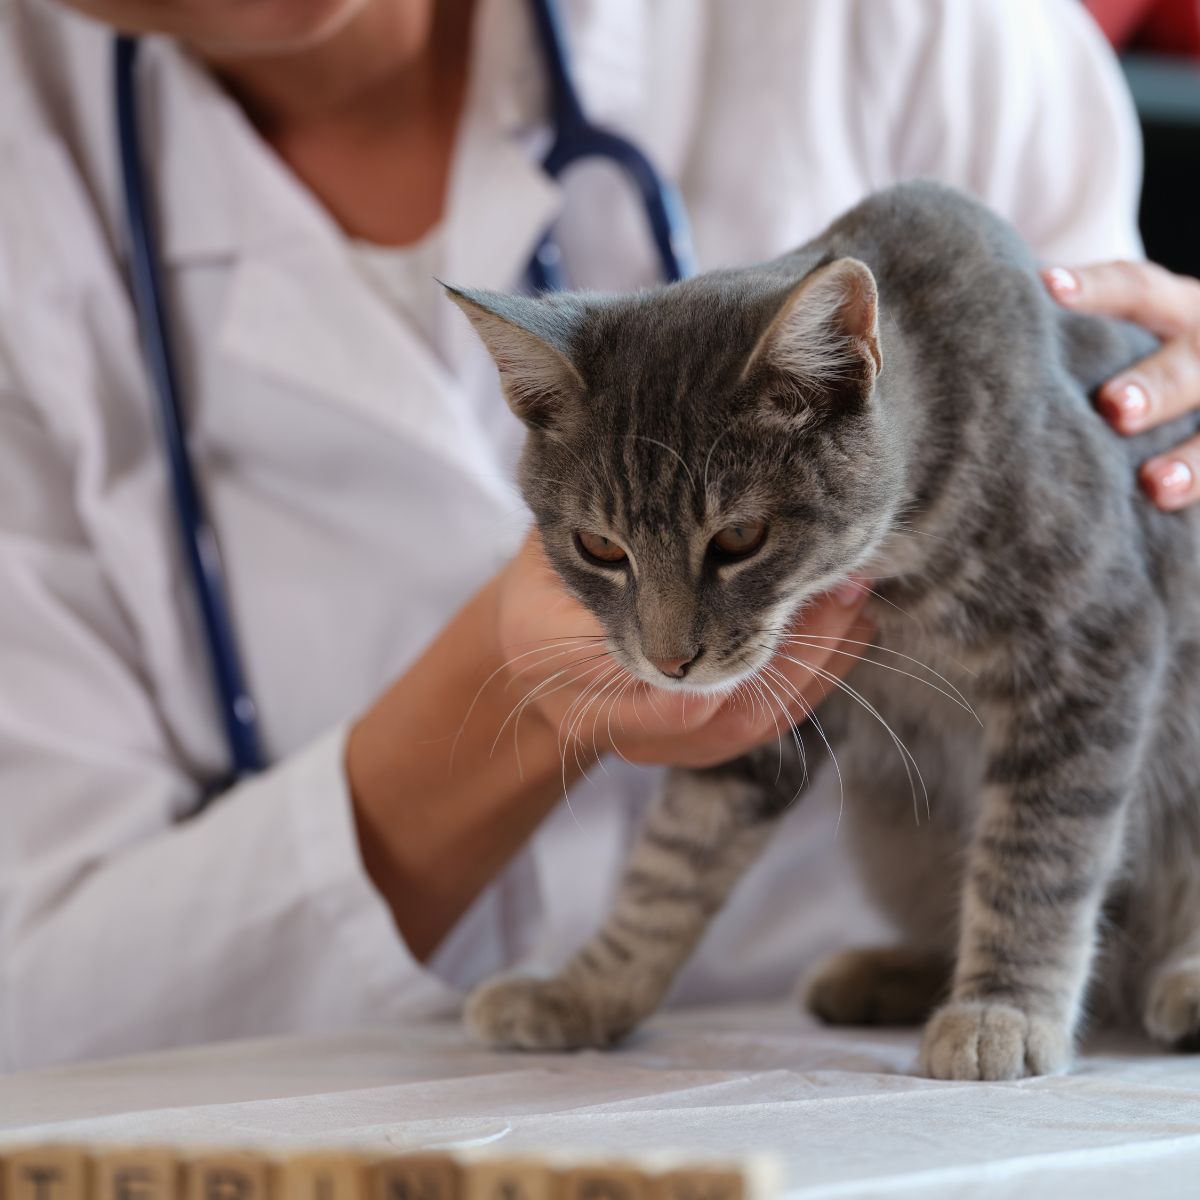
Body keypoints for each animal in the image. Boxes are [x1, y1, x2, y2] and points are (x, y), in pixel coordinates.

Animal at [444, 182, 1200, 1084]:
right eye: (598, 548)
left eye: (739, 538)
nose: (669, 662)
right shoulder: (764, 717)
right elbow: (671, 863)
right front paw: (585, 992)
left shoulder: (1089, 645)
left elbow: (1039, 853)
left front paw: (1003, 1009)